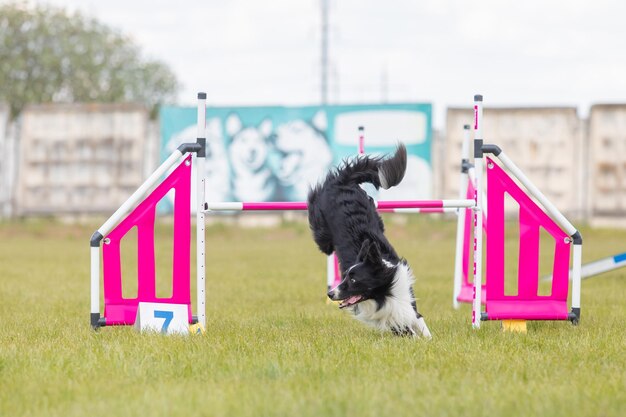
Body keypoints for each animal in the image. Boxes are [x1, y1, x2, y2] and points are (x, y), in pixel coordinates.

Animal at [306, 144, 428, 338]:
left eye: (354, 280)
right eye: (345, 276)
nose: (330, 294)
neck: (385, 293)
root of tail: (343, 181)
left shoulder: (406, 301)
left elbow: (419, 322)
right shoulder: (391, 318)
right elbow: (406, 329)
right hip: (322, 233)